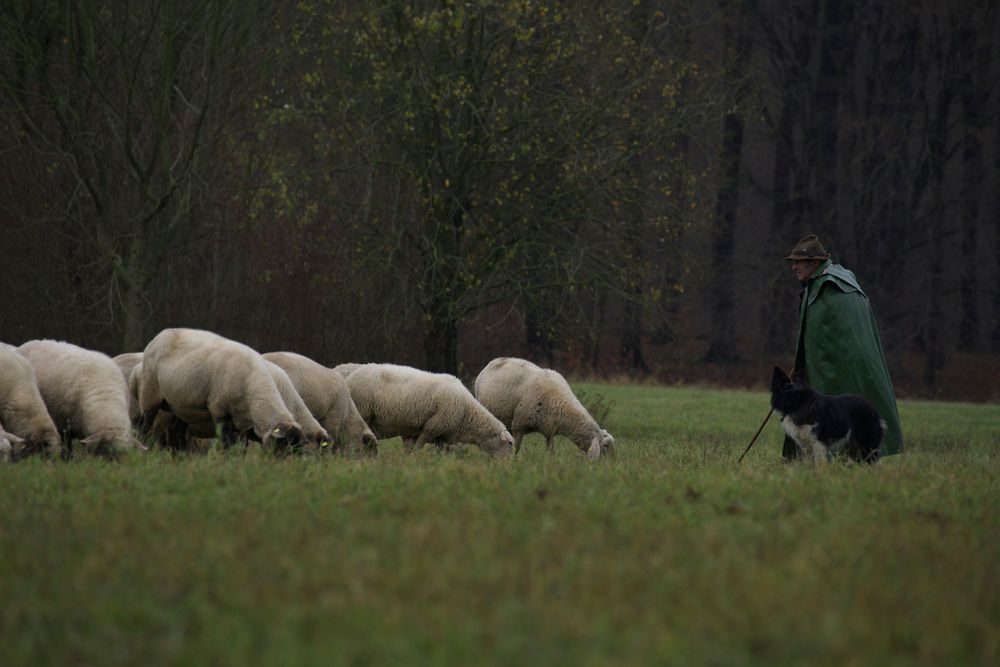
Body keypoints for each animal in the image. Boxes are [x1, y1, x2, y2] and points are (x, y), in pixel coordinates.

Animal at [136, 328, 304, 452]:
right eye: (284, 448)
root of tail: (160, 335)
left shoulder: (243, 423)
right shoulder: (219, 410)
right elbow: (229, 445)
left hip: (180, 405)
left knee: (177, 432)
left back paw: (181, 455)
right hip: (150, 394)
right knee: (144, 425)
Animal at [344, 362, 516, 456]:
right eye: (509, 444)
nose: (508, 468)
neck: (467, 414)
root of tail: (348, 378)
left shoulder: (441, 436)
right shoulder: (432, 427)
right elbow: (417, 449)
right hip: (362, 411)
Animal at [472, 358, 612, 462]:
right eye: (605, 446)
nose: (608, 467)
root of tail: (493, 361)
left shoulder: (549, 430)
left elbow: (551, 451)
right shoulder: (519, 426)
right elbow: (516, 447)